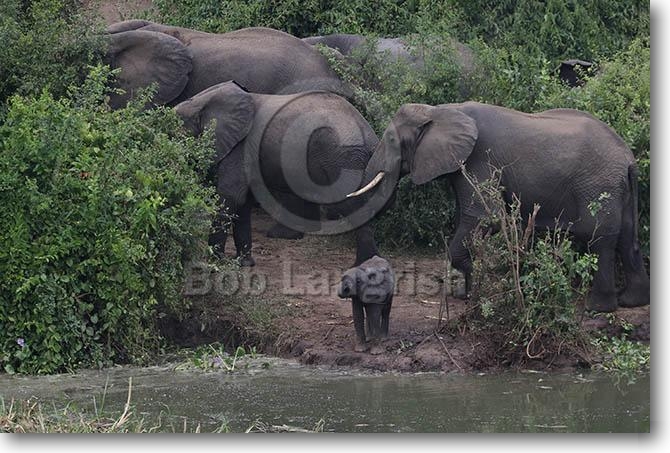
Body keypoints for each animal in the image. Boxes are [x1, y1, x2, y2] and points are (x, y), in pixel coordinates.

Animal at [174, 81, 392, 267]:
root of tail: (368, 132)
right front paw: (245, 264)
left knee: (350, 203)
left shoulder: (240, 145)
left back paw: (365, 263)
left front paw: (215, 262)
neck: (204, 102)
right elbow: (243, 199)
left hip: (341, 158)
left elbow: (231, 194)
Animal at [348, 101, 650, 313]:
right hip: (619, 188)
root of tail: (628, 158)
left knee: (598, 237)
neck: (442, 110)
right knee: (627, 237)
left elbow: (487, 217)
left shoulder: (479, 159)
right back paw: (631, 302)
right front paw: (467, 292)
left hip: (598, 185)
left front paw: (473, 292)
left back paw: (597, 308)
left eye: (392, 141)